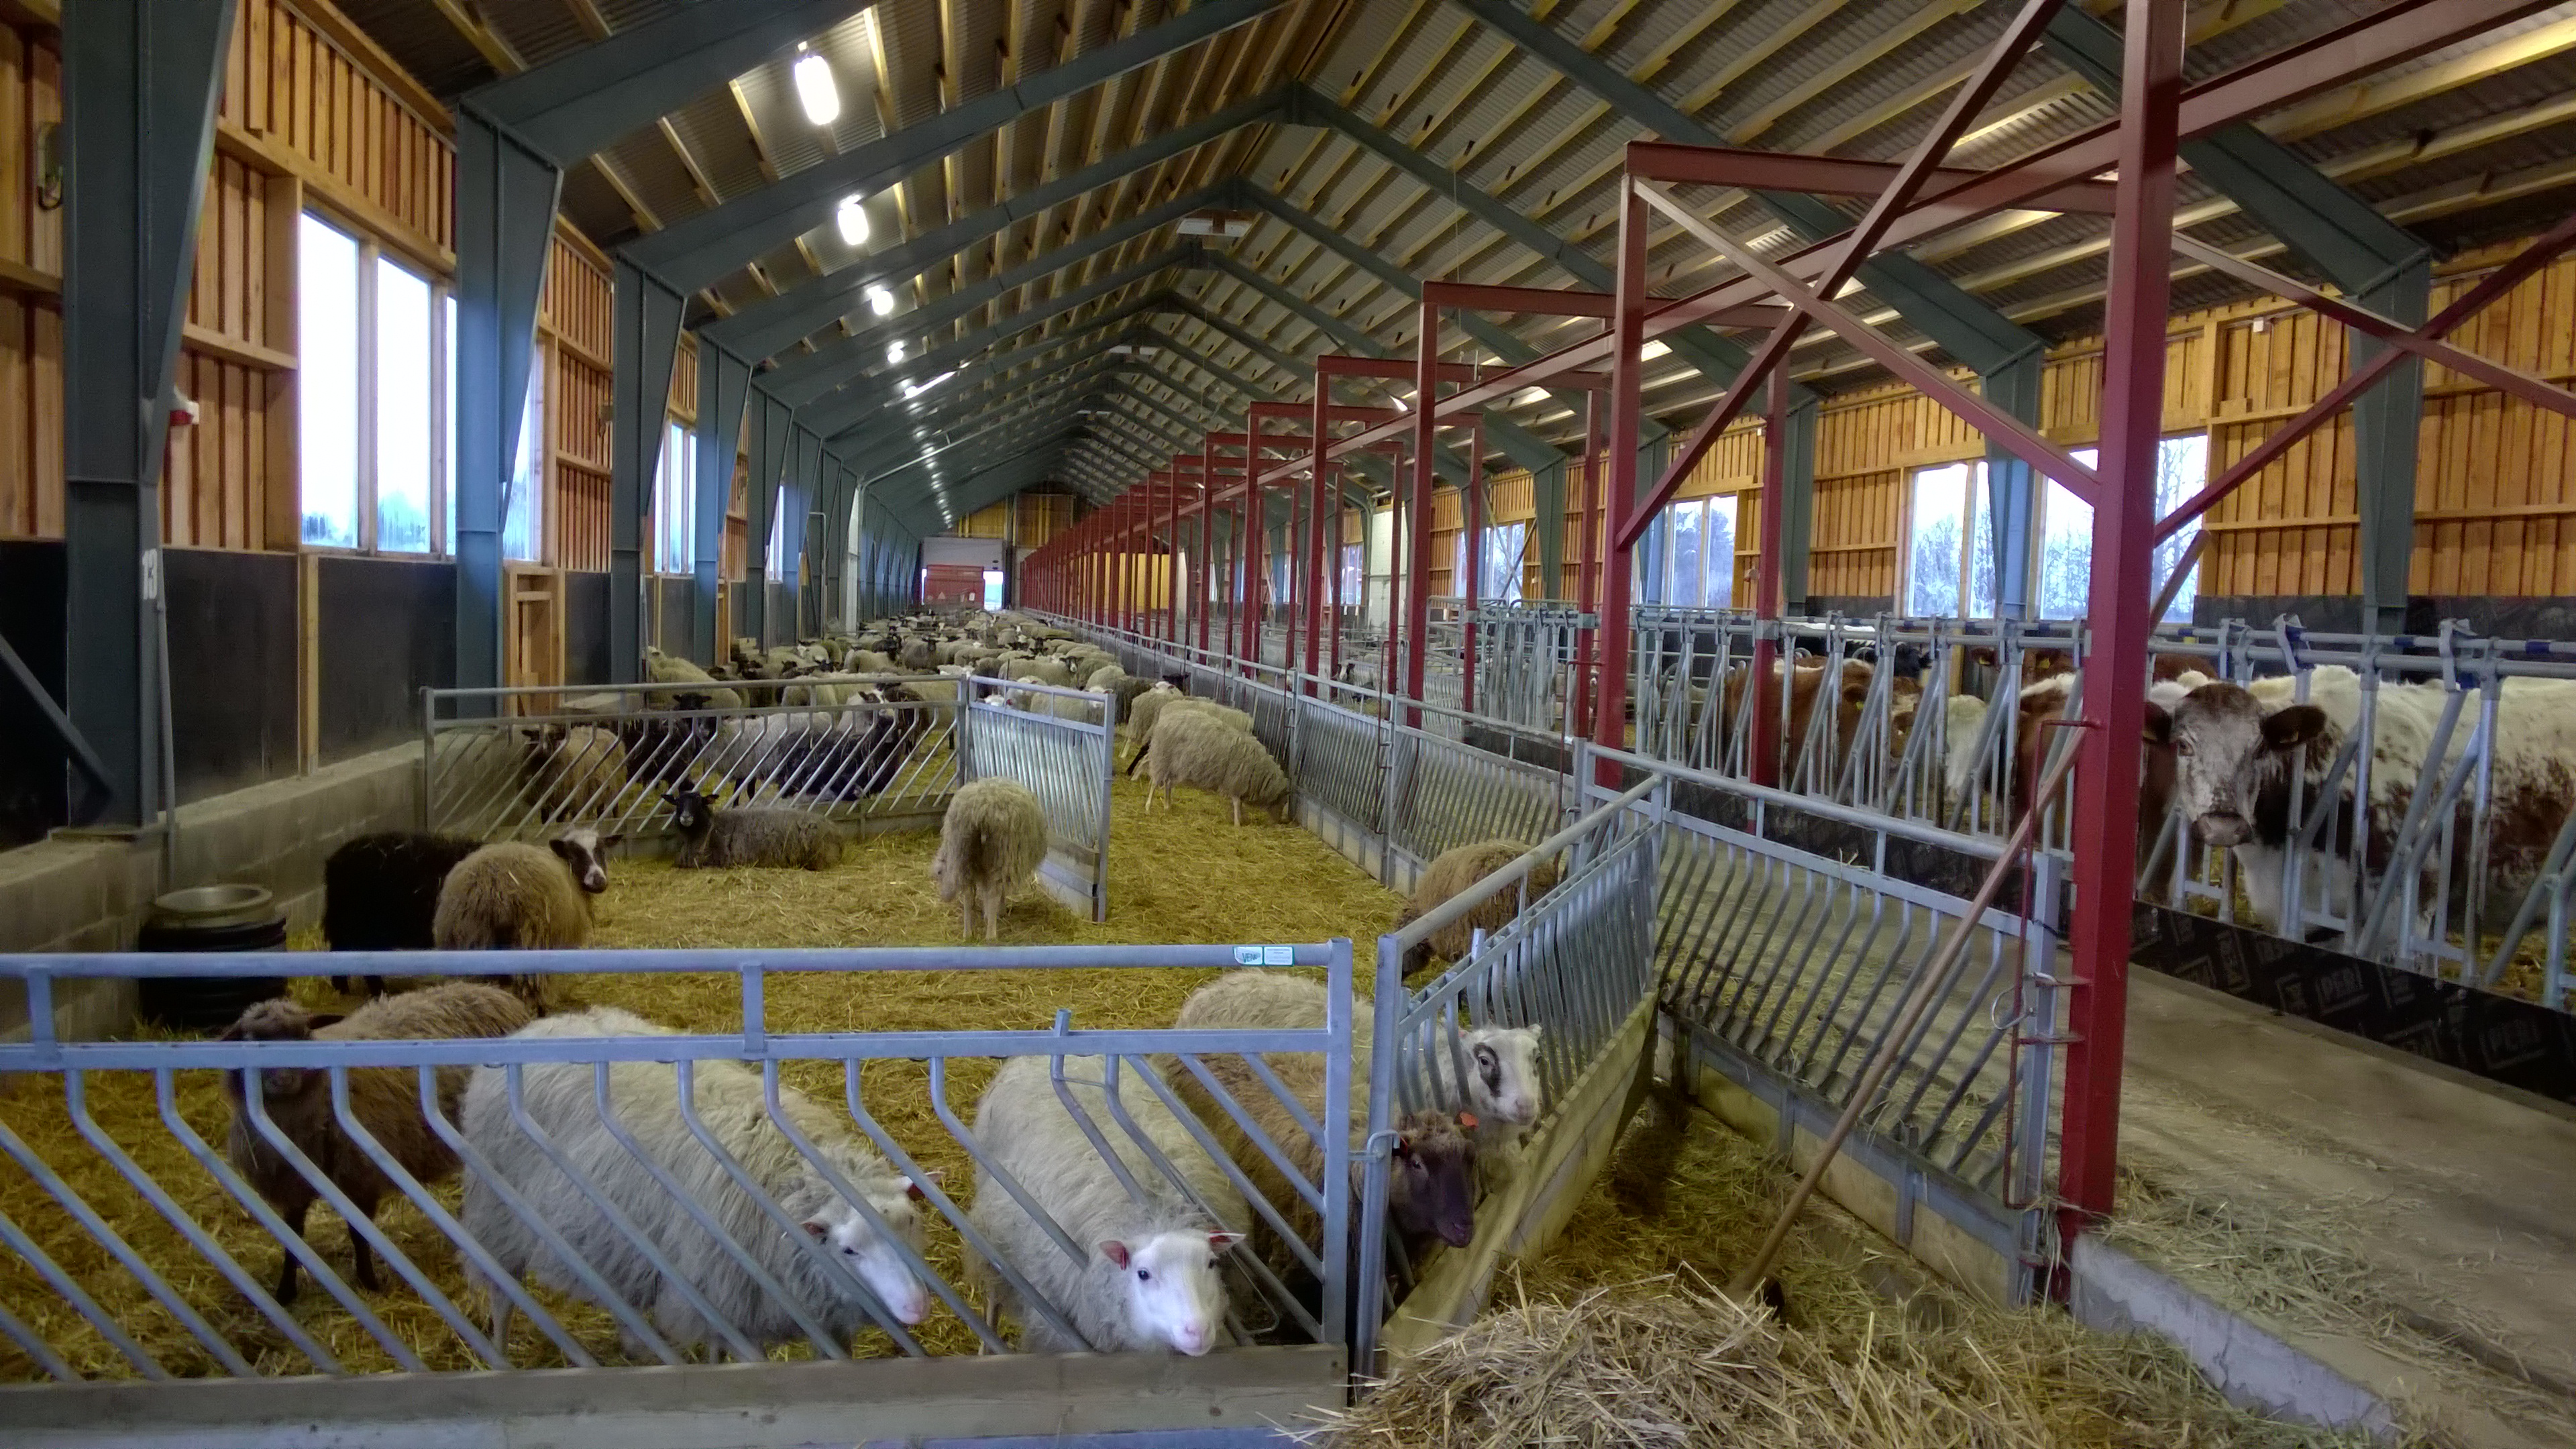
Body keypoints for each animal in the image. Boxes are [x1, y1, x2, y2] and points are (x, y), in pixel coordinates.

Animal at [218, 983, 534, 1303]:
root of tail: (492, 991)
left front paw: (368, 1281)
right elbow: (293, 1236)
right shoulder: (291, 1183)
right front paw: (285, 1291)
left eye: (304, 1034)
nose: (283, 1079)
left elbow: (359, 1233)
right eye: (249, 1041)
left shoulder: (360, 1174)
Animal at [460, 1006, 933, 1358]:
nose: (916, 1307)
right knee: (502, 1293)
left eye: (909, 1224)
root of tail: (533, 1027)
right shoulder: (725, 1299)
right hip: (496, 1214)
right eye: (848, 1250)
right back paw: (498, 1352)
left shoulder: (822, 1317)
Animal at [932, 778, 1047, 940]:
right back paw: (991, 935)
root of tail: (981, 812)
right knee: (994, 891)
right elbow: (995, 893)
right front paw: (998, 912)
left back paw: (968, 933)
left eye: (939, 873)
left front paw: (987, 914)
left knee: (968, 893)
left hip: (962, 851)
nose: (945, 897)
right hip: (1004, 853)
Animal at [1143, 710, 1289, 825]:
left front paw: (1241, 818)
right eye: (1282, 802)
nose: (1278, 822)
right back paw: (1148, 807)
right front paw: (1238, 823)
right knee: (1154, 784)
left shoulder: (1238, 783)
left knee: (1168, 784)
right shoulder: (1235, 781)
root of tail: (1164, 720)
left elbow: (1239, 803)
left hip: (1175, 766)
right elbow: (1237, 803)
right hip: (1162, 759)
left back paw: (1168, 806)